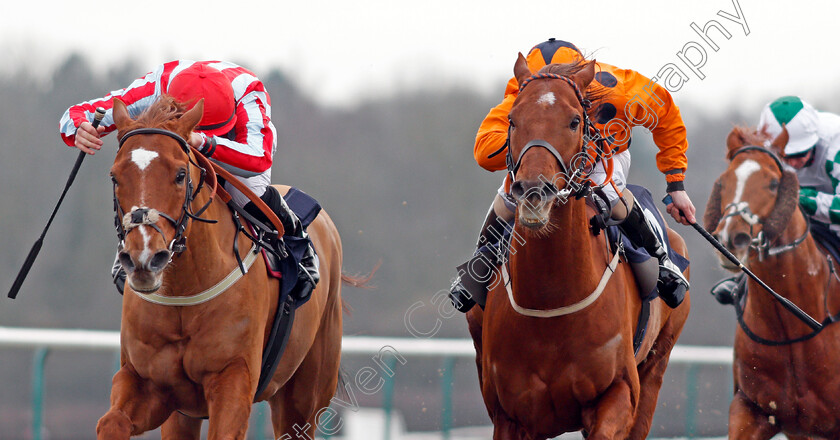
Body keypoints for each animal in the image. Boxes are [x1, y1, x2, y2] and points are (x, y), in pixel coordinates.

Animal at [97, 97, 344, 440]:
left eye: (180, 174)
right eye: (115, 177)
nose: (144, 258)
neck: (185, 293)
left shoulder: (233, 377)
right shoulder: (148, 382)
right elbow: (111, 422)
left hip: (305, 394)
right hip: (183, 416)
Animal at [466, 55, 688, 440]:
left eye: (573, 121)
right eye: (512, 119)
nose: (534, 192)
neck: (552, 301)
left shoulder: (619, 393)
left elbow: (662, 105)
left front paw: (679, 194)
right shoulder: (509, 415)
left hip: (655, 369)